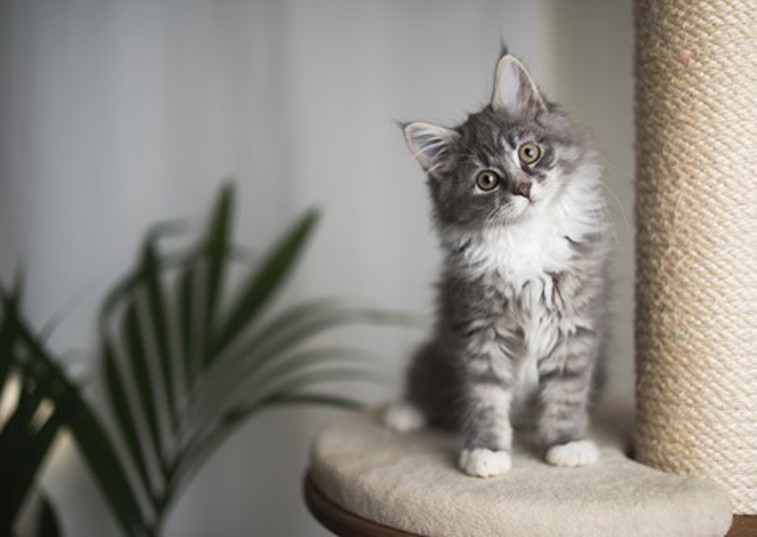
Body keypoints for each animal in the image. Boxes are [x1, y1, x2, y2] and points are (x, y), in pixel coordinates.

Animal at [384, 51, 608, 478]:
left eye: (529, 153)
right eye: (487, 180)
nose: (524, 189)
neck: (525, 239)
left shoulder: (573, 327)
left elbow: (566, 393)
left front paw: (566, 443)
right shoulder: (479, 331)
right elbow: (484, 397)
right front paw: (485, 452)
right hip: (434, 353)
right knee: (426, 390)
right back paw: (403, 413)